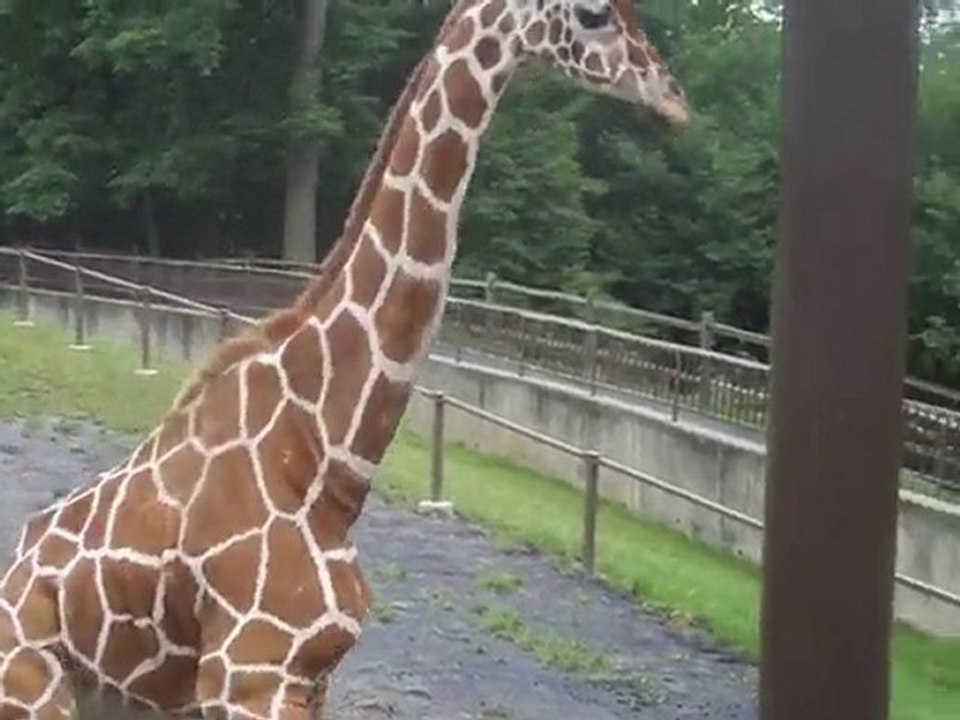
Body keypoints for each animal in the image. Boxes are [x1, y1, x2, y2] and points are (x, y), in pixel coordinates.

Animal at [0, 1, 688, 718]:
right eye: (593, 14)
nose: (673, 101)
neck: (324, 458)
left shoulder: (307, 676)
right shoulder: (249, 673)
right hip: (34, 688)